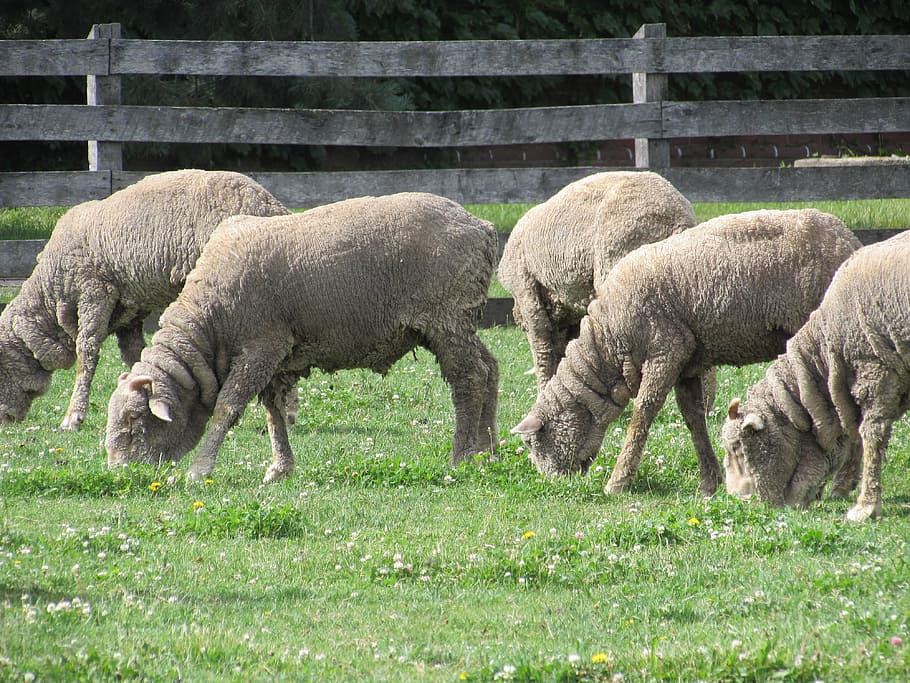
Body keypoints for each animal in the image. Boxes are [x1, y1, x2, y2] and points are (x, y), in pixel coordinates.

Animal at [0, 169, 289, 431]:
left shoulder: (94, 291)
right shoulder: (130, 312)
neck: (52, 295)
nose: (5, 421)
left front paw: (73, 417)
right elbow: (135, 354)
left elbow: (87, 352)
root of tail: (272, 206)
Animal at [104, 192, 499, 483]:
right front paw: (280, 468)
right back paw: (489, 451)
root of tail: (481, 226)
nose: (119, 474)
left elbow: (227, 408)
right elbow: (273, 413)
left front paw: (198, 471)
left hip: (446, 317)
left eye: (135, 421)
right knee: (490, 368)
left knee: (470, 379)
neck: (209, 326)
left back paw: (461, 457)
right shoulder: (277, 356)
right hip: (458, 321)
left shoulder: (261, 348)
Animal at [511, 209, 861, 497]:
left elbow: (642, 415)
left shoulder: (666, 351)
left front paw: (617, 482)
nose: (554, 483)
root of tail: (849, 240)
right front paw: (709, 482)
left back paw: (842, 486)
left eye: (533, 442)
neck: (608, 343)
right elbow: (693, 419)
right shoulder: (689, 363)